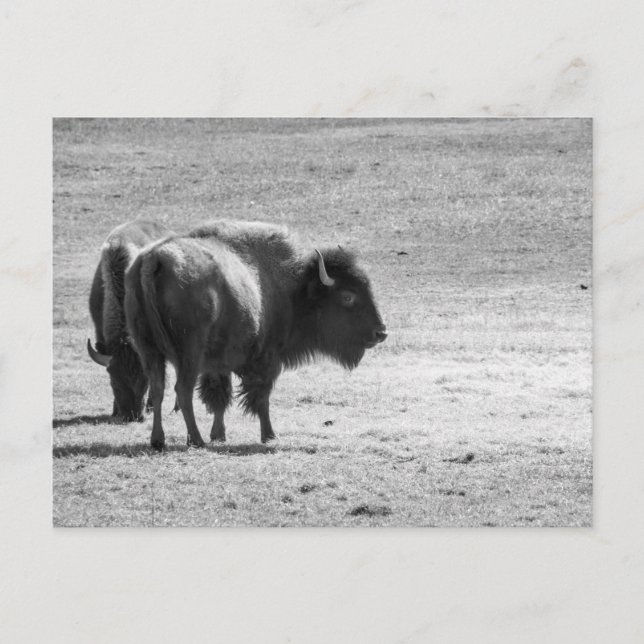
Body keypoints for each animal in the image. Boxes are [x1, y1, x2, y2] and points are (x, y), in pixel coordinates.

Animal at [124, 220, 387, 449]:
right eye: (348, 296)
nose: (381, 332)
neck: (294, 289)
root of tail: (154, 259)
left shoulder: (218, 363)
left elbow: (219, 396)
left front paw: (219, 435)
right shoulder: (266, 359)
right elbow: (261, 398)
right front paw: (269, 435)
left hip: (148, 350)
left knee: (158, 388)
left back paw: (159, 440)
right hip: (189, 354)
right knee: (182, 390)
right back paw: (196, 440)